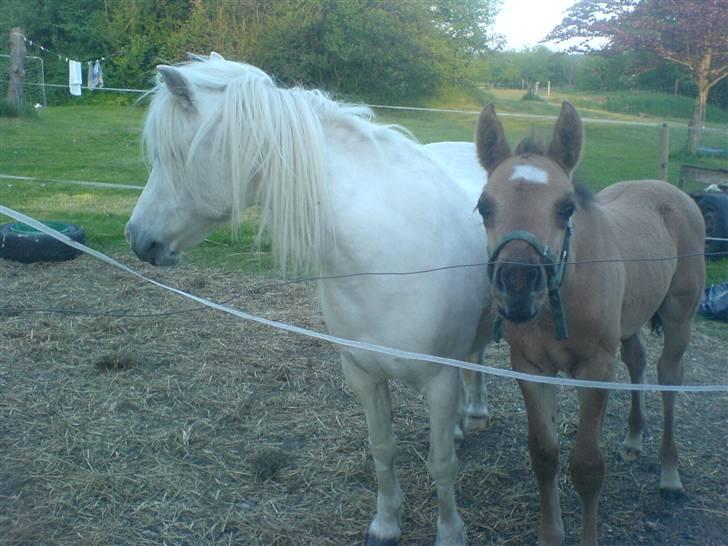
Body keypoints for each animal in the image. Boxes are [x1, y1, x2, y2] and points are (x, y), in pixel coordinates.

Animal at [128, 52, 494, 544]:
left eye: (172, 155)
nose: (136, 238)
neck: (387, 255)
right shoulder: (363, 374)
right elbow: (383, 448)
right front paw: (385, 523)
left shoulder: (438, 380)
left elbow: (441, 465)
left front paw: (450, 532)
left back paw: (474, 414)